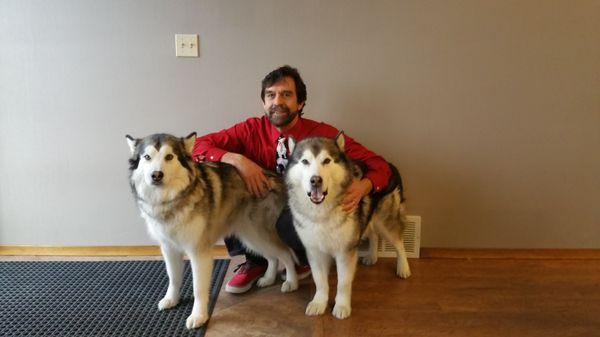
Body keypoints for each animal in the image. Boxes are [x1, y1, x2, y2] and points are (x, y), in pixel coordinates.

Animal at [125, 132, 298, 328]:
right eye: (147, 157)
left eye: (169, 157)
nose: (156, 175)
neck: (170, 201)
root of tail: (271, 174)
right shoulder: (168, 248)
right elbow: (173, 277)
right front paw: (171, 299)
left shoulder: (199, 252)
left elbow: (198, 288)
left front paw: (198, 316)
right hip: (251, 236)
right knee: (272, 257)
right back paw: (268, 278)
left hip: (259, 233)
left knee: (286, 253)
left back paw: (292, 282)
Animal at [284, 131, 408, 318]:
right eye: (305, 161)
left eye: (326, 161)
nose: (315, 180)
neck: (321, 211)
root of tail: (389, 164)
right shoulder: (314, 250)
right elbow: (320, 281)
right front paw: (319, 302)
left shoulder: (345, 251)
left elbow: (343, 283)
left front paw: (341, 306)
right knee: (373, 234)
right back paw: (372, 256)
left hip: (386, 222)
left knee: (399, 242)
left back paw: (404, 267)